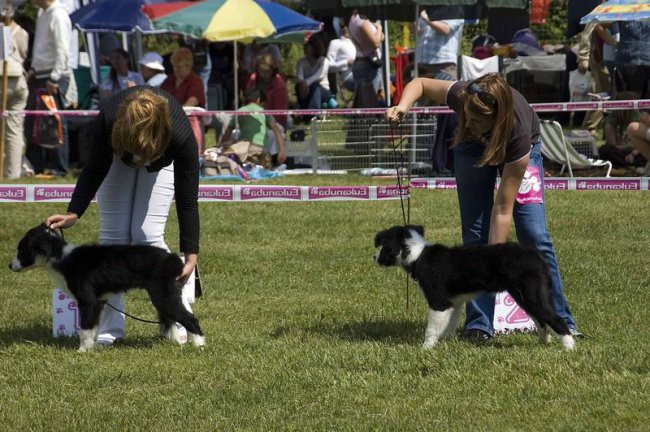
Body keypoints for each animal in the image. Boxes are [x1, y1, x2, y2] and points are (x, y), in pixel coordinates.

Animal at [8, 224, 204, 352]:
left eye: (22, 250)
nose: (10, 266)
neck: (61, 258)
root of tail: (175, 259)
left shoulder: (88, 300)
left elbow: (85, 327)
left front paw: (83, 350)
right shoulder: (99, 302)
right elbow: (93, 326)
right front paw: (92, 346)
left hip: (163, 296)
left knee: (190, 318)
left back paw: (199, 344)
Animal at [372, 226, 576, 352]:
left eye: (384, 247)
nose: (373, 257)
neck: (417, 256)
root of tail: (538, 257)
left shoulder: (438, 301)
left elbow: (432, 328)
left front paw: (426, 348)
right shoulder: (454, 303)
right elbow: (448, 326)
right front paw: (445, 344)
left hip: (530, 293)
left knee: (556, 319)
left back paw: (569, 347)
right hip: (525, 296)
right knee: (541, 320)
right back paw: (543, 342)